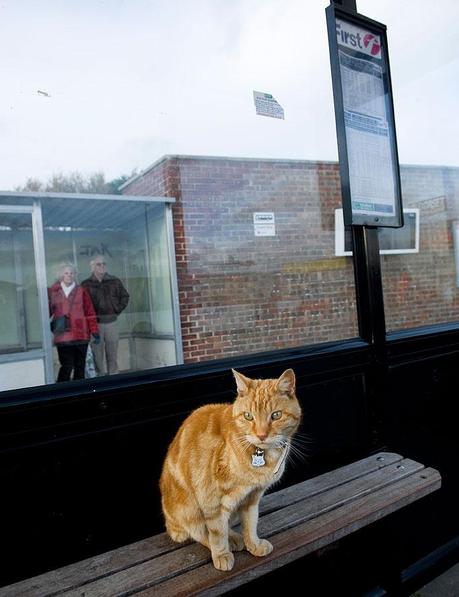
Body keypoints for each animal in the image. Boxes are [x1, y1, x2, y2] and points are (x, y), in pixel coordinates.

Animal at [160, 368, 304, 568]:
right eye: (248, 416)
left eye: (276, 415)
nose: (261, 435)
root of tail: (169, 522)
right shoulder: (211, 500)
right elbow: (216, 532)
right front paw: (221, 554)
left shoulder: (252, 497)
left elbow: (250, 523)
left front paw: (253, 545)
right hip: (189, 510)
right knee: (199, 532)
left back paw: (235, 538)